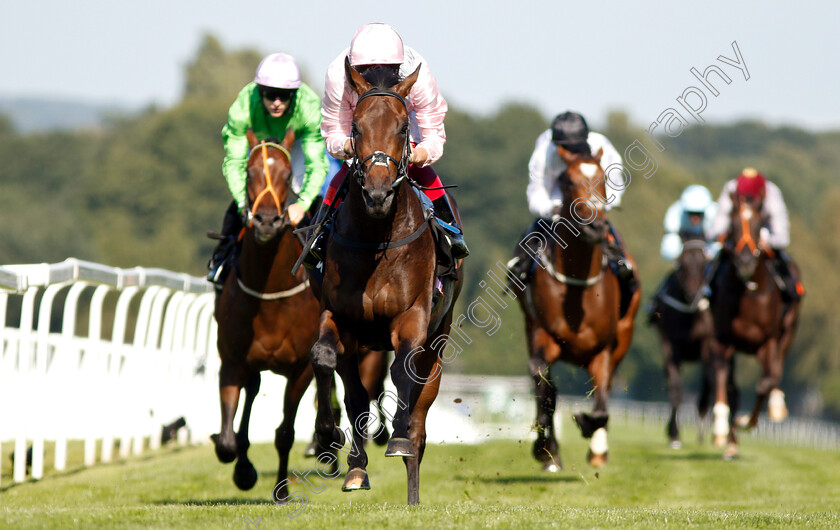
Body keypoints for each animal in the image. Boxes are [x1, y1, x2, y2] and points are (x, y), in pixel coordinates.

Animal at [212, 128, 324, 500]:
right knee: (250, 394)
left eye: (288, 176)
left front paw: (282, 491)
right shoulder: (232, 360)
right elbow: (228, 442)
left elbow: (285, 433)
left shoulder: (301, 368)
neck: (270, 293)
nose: (265, 221)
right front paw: (243, 470)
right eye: (249, 173)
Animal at [308, 57, 462, 504]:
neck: (376, 237)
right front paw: (334, 445)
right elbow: (328, 363)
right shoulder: (339, 317)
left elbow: (402, 373)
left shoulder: (412, 317)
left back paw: (411, 476)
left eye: (403, 126)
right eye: (357, 128)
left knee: (421, 413)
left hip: (439, 340)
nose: (377, 194)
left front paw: (397, 438)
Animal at [516, 143, 640, 466]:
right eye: (568, 181)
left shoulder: (604, 349)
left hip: (625, 333)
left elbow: (601, 404)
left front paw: (588, 427)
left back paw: (597, 450)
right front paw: (546, 448)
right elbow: (544, 385)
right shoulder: (542, 336)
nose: (596, 226)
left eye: (603, 179)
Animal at [712, 191, 804, 458]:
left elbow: (766, 383)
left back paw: (775, 405)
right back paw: (730, 441)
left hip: (788, 330)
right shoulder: (723, 339)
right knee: (733, 387)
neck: (749, 292)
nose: (744, 262)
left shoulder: (768, 341)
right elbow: (725, 383)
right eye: (732, 225)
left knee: (775, 371)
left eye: (759, 223)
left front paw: (746, 421)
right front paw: (722, 430)